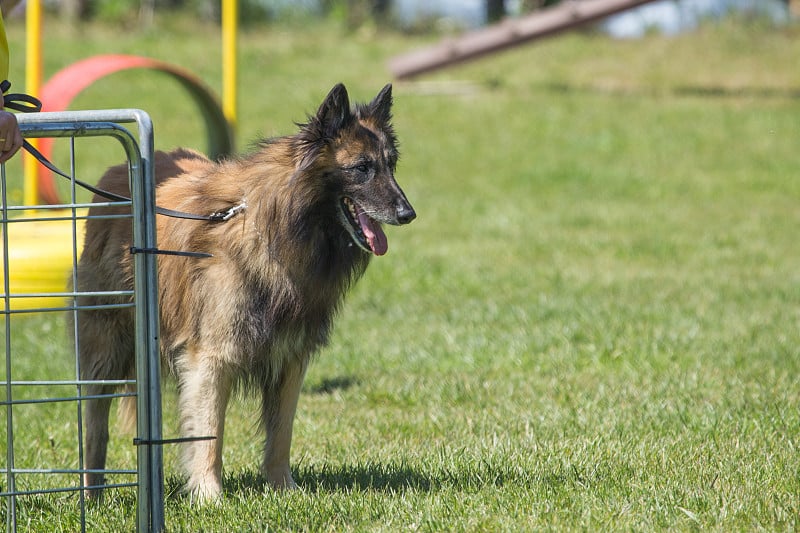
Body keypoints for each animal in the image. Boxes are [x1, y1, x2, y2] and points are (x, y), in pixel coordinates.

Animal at [72, 83, 416, 498]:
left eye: (391, 164)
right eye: (362, 168)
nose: (408, 214)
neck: (277, 229)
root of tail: (114, 174)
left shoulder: (290, 356)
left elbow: (281, 433)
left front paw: (284, 488)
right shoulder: (211, 358)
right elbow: (209, 433)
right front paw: (208, 496)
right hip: (105, 349)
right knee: (95, 427)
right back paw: (92, 493)